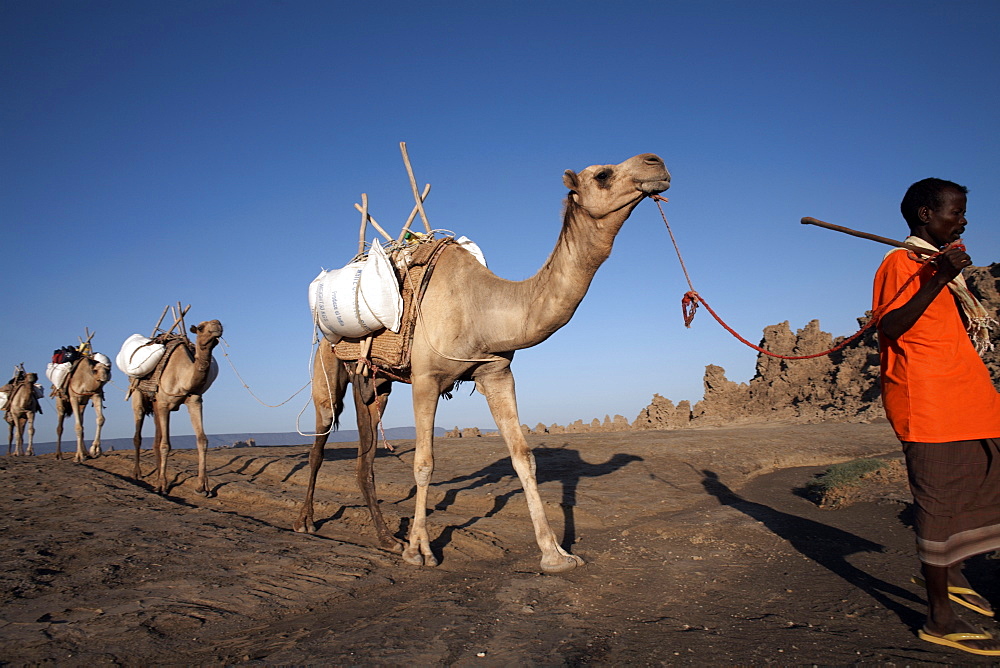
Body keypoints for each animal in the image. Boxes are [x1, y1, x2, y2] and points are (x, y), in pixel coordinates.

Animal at [130, 320, 224, 498]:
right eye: (200, 327)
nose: (217, 326)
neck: (183, 377)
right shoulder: (164, 404)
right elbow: (165, 445)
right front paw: (162, 486)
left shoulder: (194, 402)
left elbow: (202, 440)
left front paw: (203, 487)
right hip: (138, 394)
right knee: (138, 432)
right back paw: (137, 474)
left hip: (156, 405)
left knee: (156, 438)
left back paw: (156, 475)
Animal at [296, 153, 672, 576]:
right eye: (602, 175)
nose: (656, 163)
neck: (482, 308)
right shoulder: (426, 378)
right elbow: (424, 462)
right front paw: (421, 552)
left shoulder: (496, 374)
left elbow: (524, 458)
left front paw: (555, 555)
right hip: (327, 364)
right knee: (320, 440)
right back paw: (307, 522)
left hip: (376, 384)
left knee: (366, 457)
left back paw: (386, 539)